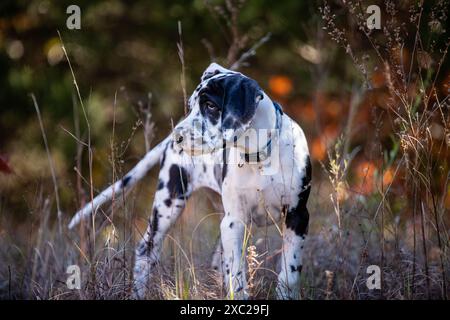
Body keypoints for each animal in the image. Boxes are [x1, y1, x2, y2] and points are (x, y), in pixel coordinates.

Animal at [68, 63, 312, 300]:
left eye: (210, 106)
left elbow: (289, 272)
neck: (259, 158)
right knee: (146, 250)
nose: (177, 135)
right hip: (168, 204)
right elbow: (237, 275)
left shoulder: (297, 216)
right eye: (192, 105)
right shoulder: (235, 221)